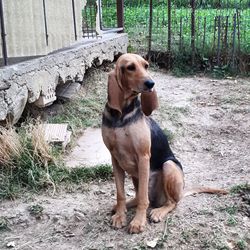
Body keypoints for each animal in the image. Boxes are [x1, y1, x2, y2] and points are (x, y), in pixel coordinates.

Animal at [101, 53, 227, 234]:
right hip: (135, 175)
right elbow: (120, 194)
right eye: (130, 67)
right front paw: (120, 215)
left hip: (169, 166)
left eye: (146, 65)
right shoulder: (115, 159)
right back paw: (127, 206)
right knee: (140, 196)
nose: (151, 83)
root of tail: (182, 191)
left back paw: (158, 211)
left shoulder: (143, 157)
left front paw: (138, 222)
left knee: (171, 202)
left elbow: (143, 199)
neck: (123, 114)